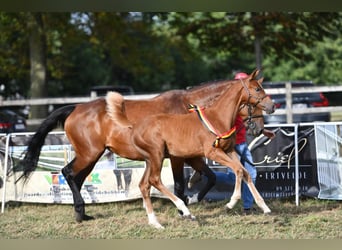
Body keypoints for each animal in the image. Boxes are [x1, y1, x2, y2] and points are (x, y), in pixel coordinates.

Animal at [105, 73, 274, 229]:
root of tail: (135, 126)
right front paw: (230, 203)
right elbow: (238, 171)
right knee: (154, 180)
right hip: (156, 155)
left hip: (150, 159)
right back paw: (185, 210)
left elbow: (245, 172)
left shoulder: (228, 150)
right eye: (257, 89)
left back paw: (155, 222)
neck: (217, 117)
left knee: (144, 184)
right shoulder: (211, 153)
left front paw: (264, 207)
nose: (272, 106)